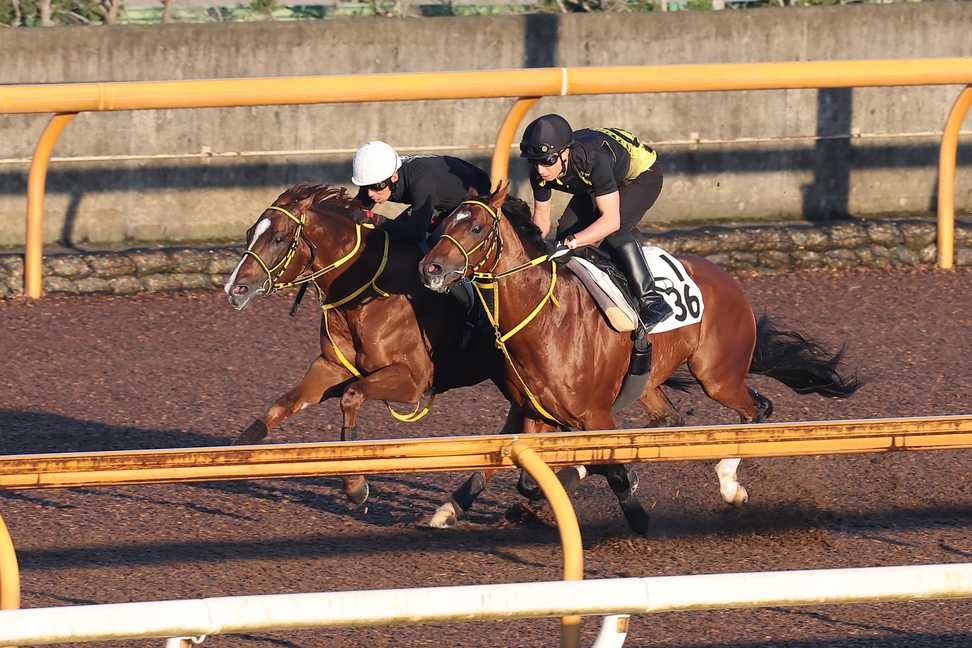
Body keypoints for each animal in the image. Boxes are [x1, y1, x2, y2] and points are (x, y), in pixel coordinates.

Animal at [222, 184, 516, 512]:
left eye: (278, 238)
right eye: (250, 232)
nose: (235, 289)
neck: (366, 289)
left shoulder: (413, 381)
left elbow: (351, 398)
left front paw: (355, 486)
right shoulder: (332, 366)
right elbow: (282, 405)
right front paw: (230, 457)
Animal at [422, 181, 860, 528]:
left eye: (476, 227)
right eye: (443, 224)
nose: (431, 269)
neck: (547, 320)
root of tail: (728, 281)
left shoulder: (595, 414)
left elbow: (603, 468)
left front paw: (635, 512)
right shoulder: (533, 412)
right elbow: (515, 469)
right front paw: (451, 509)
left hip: (717, 376)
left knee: (757, 410)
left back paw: (730, 486)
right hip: (650, 382)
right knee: (669, 421)